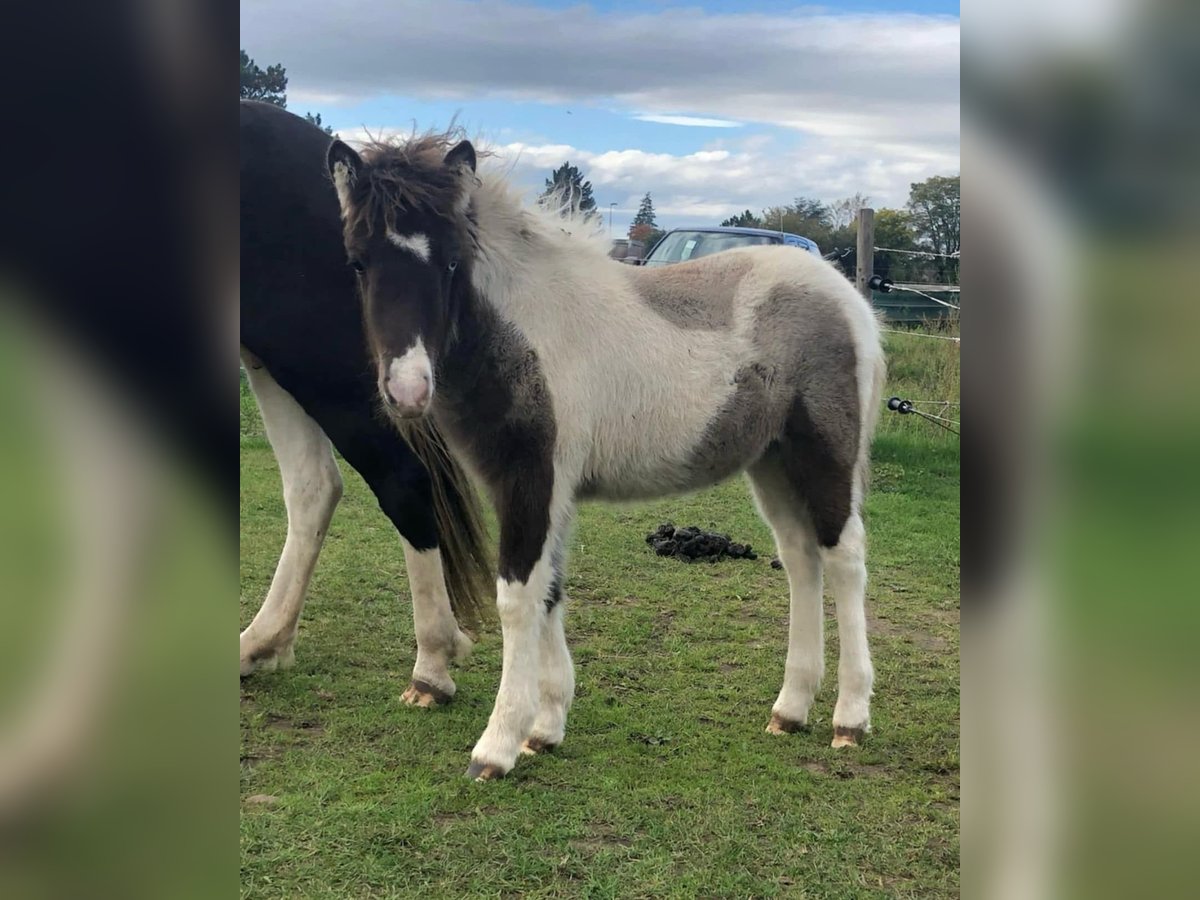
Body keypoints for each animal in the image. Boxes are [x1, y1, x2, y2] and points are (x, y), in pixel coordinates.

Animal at [240, 102, 492, 710]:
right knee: (314, 486)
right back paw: (259, 645)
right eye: (358, 262)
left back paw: (431, 664)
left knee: (399, 478)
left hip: (312, 361)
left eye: (450, 264)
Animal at [324, 128, 888, 782]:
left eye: (450, 262)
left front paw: (496, 746)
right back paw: (790, 710)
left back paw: (849, 719)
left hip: (823, 452)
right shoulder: (535, 490)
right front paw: (544, 730)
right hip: (771, 462)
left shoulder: (534, 479)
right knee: (800, 559)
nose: (408, 391)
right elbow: (549, 591)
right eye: (357, 261)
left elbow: (517, 596)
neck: (523, 331)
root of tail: (848, 297)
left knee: (845, 558)